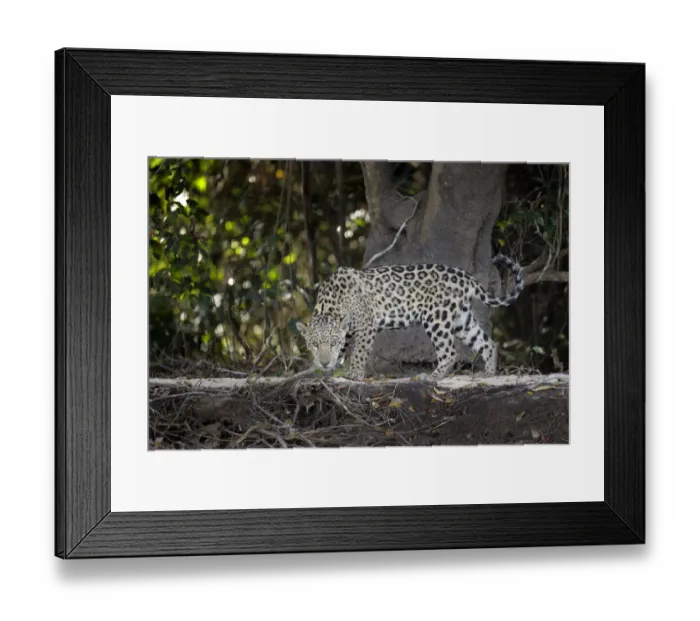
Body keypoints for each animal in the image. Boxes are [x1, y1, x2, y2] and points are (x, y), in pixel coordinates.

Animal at [296, 254, 524, 382]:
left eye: (332, 342)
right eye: (314, 344)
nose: (324, 362)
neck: (332, 303)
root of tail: (464, 276)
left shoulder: (367, 325)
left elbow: (359, 351)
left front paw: (354, 373)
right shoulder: (348, 329)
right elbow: (345, 349)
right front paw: (331, 367)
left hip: (436, 318)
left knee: (450, 352)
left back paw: (432, 377)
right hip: (462, 320)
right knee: (487, 343)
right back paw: (488, 374)